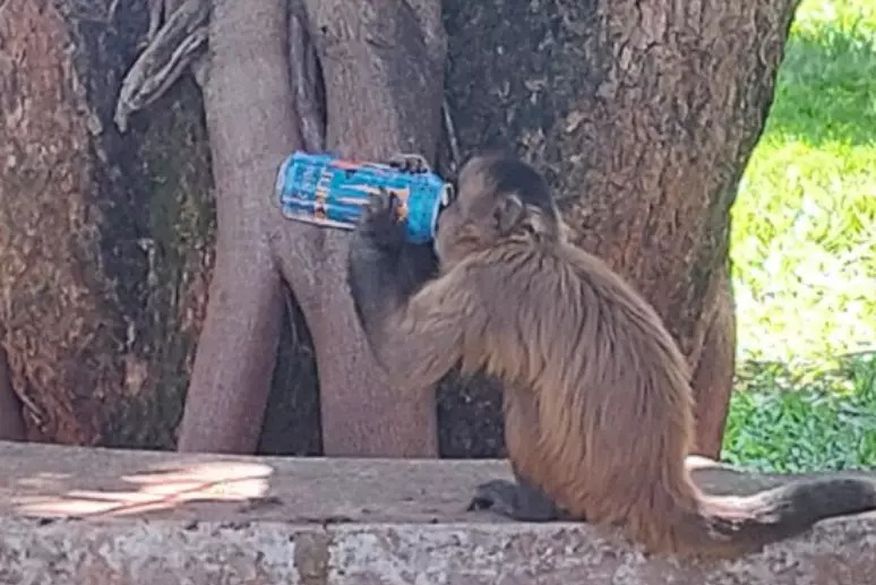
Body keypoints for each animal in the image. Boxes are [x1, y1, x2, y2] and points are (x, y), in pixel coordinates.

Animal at [346, 152, 876, 556]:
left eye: (452, 197)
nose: (435, 210)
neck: (536, 247)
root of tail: (661, 486)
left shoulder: (490, 281)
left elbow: (403, 355)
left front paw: (378, 228)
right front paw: (404, 175)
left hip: (580, 481)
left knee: (524, 395)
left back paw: (536, 508)